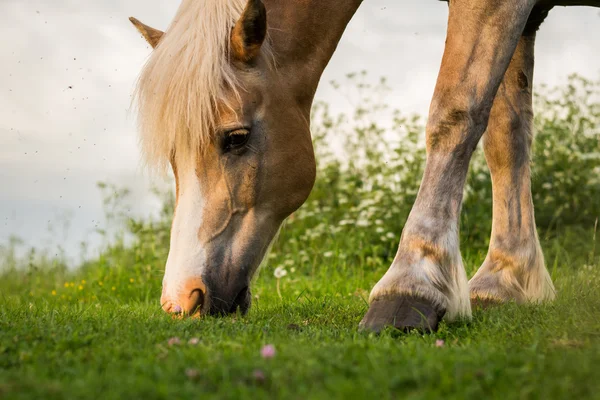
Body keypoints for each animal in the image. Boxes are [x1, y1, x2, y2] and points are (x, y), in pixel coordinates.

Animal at [130, 0, 600, 332]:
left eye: (236, 137)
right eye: (173, 157)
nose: (182, 300)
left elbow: (455, 110)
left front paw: (411, 284)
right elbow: (506, 136)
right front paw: (506, 279)